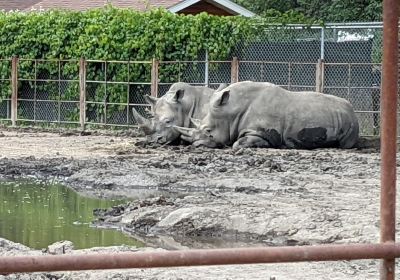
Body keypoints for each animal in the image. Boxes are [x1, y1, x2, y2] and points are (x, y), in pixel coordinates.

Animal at [175, 81, 360, 150]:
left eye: (208, 131)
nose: (195, 144)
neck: (232, 111)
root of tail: (352, 108)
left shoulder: (261, 133)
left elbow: (238, 143)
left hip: (351, 121)